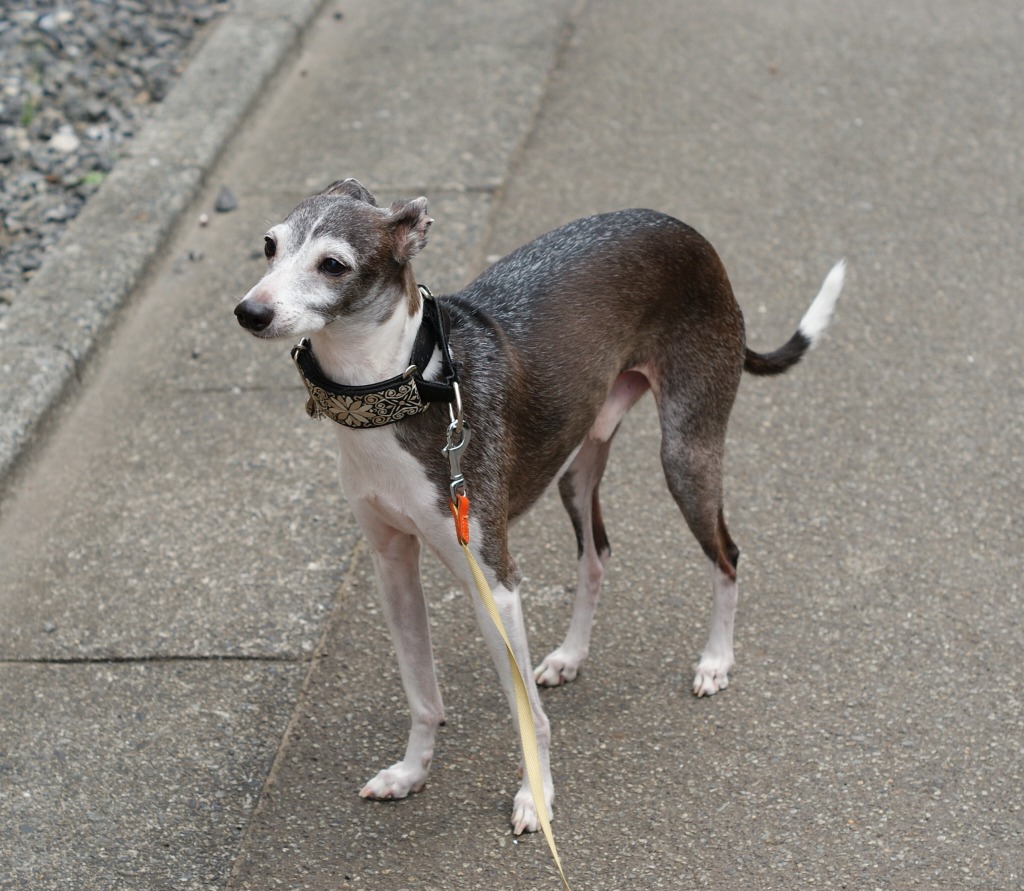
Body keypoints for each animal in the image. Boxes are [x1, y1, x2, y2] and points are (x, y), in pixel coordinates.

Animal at [234, 178, 844, 834]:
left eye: (333, 264)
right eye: (269, 245)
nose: (250, 312)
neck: (407, 383)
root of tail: (687, 232)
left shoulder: (493, 580)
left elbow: (525, 712)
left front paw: (537, 795)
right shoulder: (391, 563)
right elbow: (422, 694)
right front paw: (411, 773)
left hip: (687, 451)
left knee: (726, 555)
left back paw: (715, 661)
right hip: (577, 464)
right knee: (596, 554)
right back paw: (571, 656)